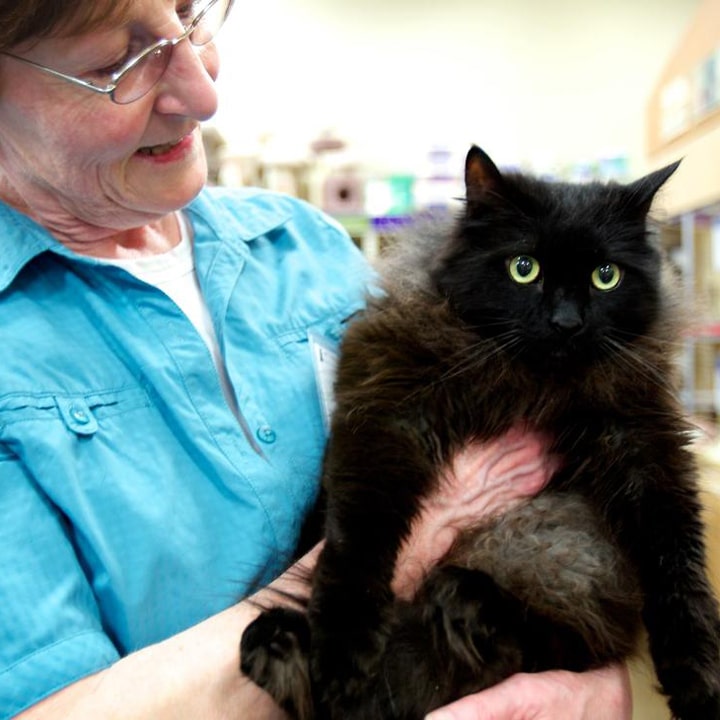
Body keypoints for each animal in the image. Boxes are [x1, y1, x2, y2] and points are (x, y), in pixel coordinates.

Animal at [238, 146, 720, 720]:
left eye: (606, 276)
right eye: (524, 268)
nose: (566, 322)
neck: (533, 385)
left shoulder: (645, 444)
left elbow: (681, 572)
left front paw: (698, 683)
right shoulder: (388, 414)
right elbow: (357, 542)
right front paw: (341, 653)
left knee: (535, 646)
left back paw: (464, 603)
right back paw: (290, 650)